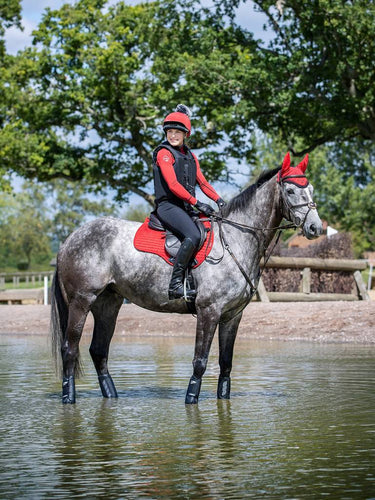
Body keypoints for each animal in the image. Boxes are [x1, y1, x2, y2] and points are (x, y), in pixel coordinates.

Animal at [51, 151, 324, 402]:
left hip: (108, 304)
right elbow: (200, 362)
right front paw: (191, 399)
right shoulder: (208, 311)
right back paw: (68, 398)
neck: (234, 239)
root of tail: (69, 239)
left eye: (310, 189)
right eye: (290, 191)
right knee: (70, 349)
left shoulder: (232, 316)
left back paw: (111, 396)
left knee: (98, 351)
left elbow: (226, 364)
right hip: (81, 301)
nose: (315, 228)